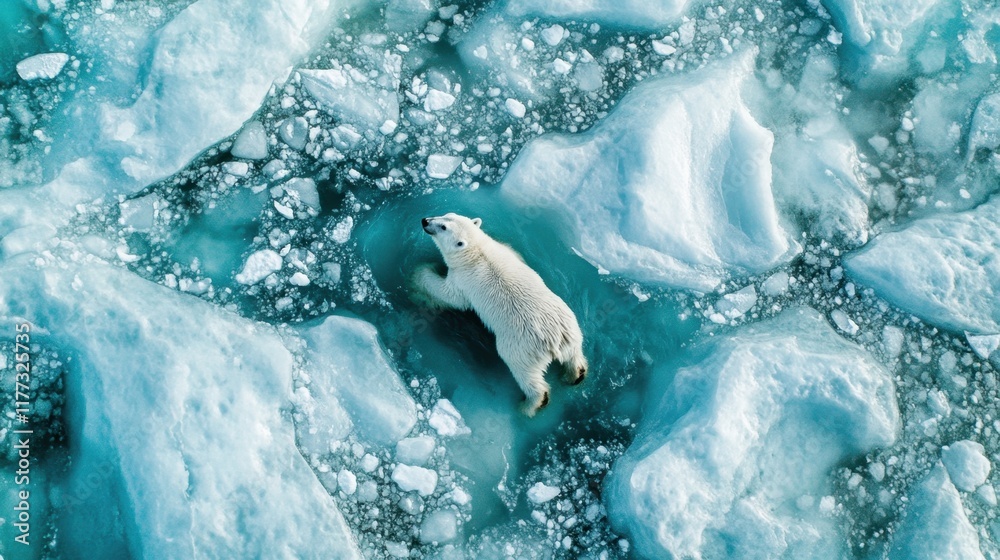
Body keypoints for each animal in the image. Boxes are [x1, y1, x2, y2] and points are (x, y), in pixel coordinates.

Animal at [413, 213, 587, 416]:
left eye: (443, 227)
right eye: (447, 215)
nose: (425, 221)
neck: (476, 253)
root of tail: (554, 339)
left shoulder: (461, 280)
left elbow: (450, 295)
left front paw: (420, 275)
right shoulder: (505, 251)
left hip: (520, 347)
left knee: (525, 373)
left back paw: (530, 404)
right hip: (569, 325)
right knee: (574, 353)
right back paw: (576, 374)